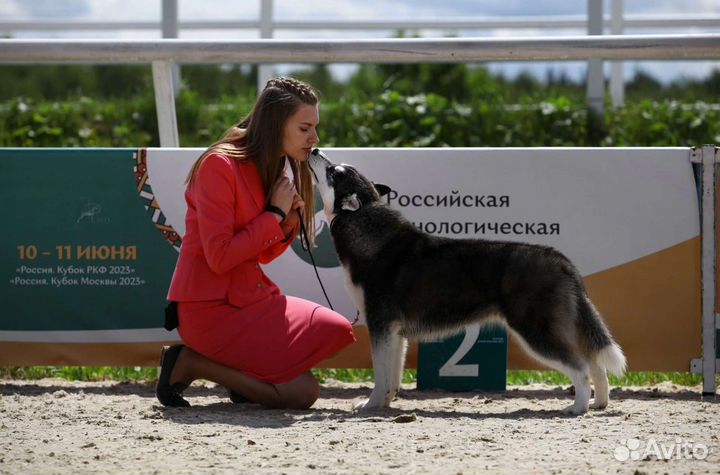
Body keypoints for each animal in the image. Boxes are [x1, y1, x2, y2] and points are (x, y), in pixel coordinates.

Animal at [308, 150, 624, 416]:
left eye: (333, 172)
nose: (314, 149)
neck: (367, 226)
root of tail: (560, 259)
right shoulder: (394, 331)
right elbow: (393, 375)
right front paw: (385, 402)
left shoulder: (380, 323)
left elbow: (381, 373)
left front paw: (371, 404)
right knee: (595, 364)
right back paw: (599, 403)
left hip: (536, 329)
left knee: (581, 367)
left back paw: (578, 407)